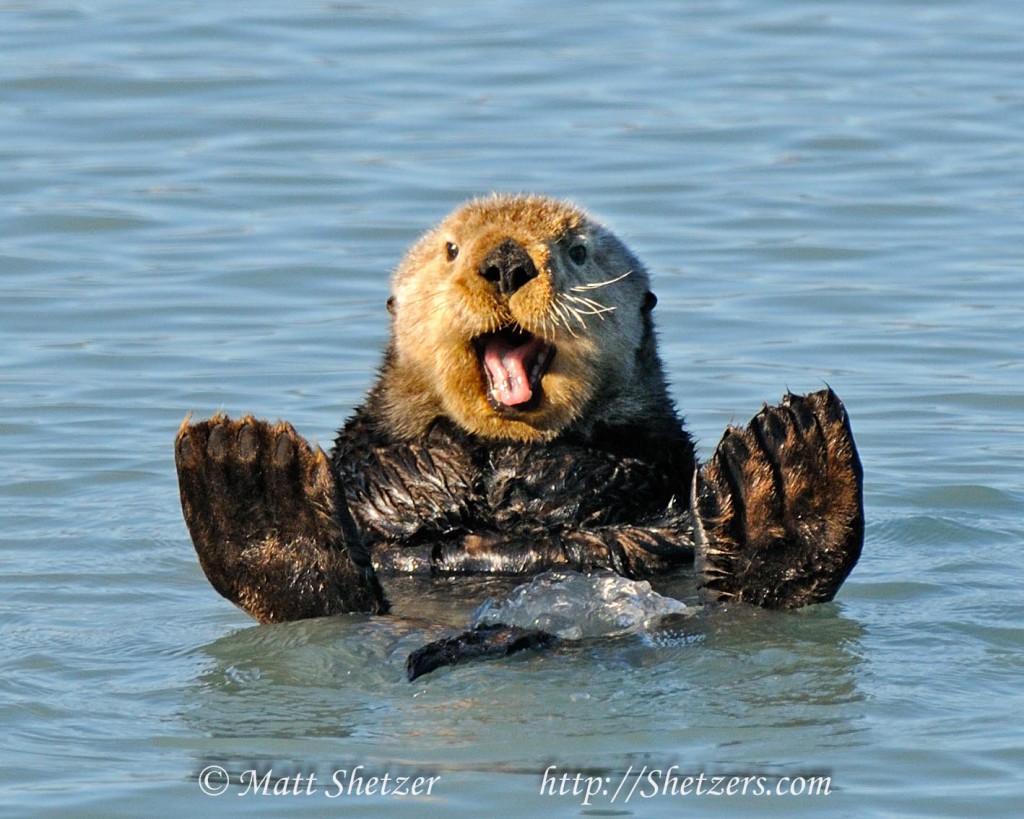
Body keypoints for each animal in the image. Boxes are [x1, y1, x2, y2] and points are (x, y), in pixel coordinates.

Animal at [176, 195, 864, 667]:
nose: (506, 260)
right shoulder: (370, 447)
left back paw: (786, 469)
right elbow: (380, 467)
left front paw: (532, 479)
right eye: (451, 249)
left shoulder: (653, 454)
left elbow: (614, 468)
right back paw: (252, 481)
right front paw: (440, 476)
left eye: (577, 251)